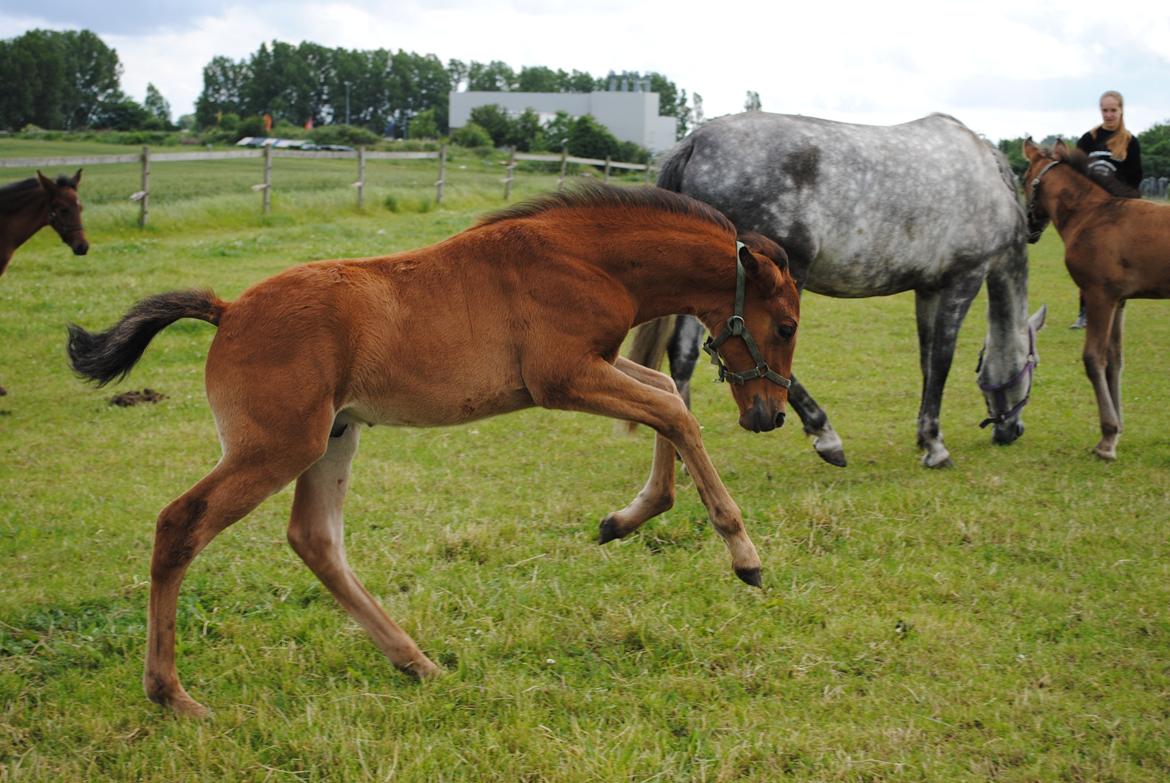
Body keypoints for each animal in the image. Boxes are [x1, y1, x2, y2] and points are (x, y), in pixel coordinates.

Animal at [66, 183, 804, 716]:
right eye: (789, 324)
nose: (768, 415)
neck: (585, 255)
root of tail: (228, 309)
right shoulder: (563, 377)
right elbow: (675, 410)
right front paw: (745, 556)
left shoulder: (593, 366)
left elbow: (666, 395)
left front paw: (627, 517)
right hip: (276, 447)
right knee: (180, 524)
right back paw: (171, 695)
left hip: (332, 437)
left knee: (315, 539)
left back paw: (415, 661)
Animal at [636, 110, 1048, 463]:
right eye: (1034, 365)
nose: (1012, 431)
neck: (986, 177)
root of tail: (696, 143)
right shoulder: (963, 280)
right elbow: (942, 361)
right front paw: (935, 445)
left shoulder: (928, 290)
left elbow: (927, 361)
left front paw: (923, 436)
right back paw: (825, 434)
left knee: (684, 354)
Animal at [1020, 138, 1170, 458]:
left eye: (1024, 179)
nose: (1029, 229)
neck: (1091, 215)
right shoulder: (1120, 301)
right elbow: (1114, 359)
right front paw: (1118, 428)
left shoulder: (1099, 294)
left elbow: (1093, 357)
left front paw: (1107, 438)